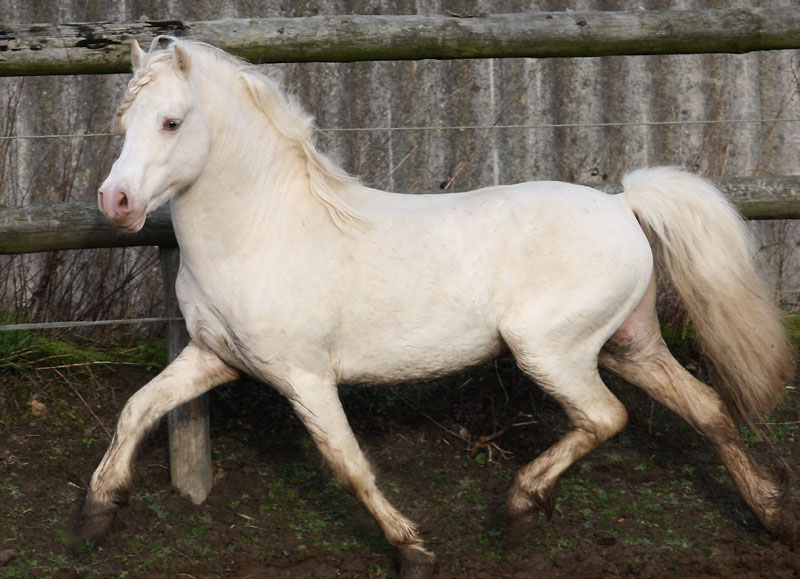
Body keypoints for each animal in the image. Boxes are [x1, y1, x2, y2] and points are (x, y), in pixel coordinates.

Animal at [87, 37, 796, 578]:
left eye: (172, 121)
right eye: (123, 122)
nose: (115, 203)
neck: (264, 232)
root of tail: (624, 204)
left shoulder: (305, 378)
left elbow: (349, 466)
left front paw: (415, 551)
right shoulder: (213, 358)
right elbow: (135, 409)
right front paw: (95, 512)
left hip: (553, 351)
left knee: (606, 417)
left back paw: (519, 505)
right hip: (630, 343)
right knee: (706, 407)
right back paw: (771, 514)